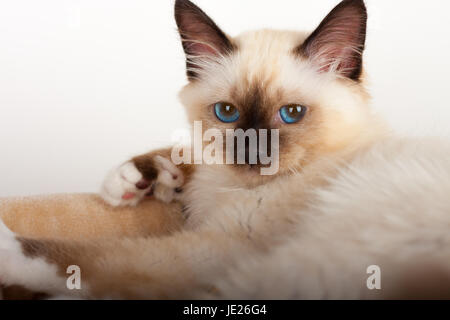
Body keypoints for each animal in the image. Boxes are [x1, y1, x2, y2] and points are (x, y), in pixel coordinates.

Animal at [0, 0, 450, 300]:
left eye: (291, 114)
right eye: (227, 112)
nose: (253, 154)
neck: (232, 189)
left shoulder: (220, 246)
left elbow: (88, 258)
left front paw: (10, 251)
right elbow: (189, 154)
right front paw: (135, 180)